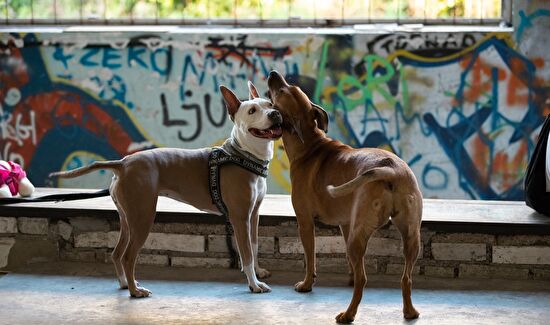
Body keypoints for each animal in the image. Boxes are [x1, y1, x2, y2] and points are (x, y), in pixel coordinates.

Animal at [270, 70, 424, 322]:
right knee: (406, 278)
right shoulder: (345, 224)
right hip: (410, 235)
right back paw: (409, 312)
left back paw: (348, 314)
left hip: (360, 234)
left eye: (282, 90)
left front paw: (307, 284)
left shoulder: (305, 222)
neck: (310, 144)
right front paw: (349, 274)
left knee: (363, 280)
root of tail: (390, 169)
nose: (273, 74)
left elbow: (310, 257)